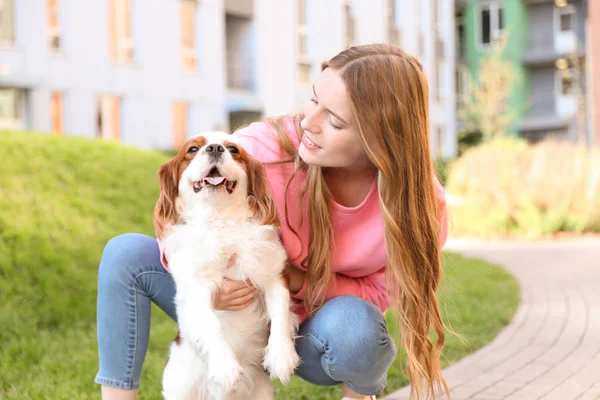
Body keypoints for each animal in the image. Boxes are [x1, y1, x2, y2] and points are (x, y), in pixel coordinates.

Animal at [155, 133, 300, 398]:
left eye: (233, 150)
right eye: (193, 149)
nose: (215, 148)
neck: (220, 218)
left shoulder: (274, 275)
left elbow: (281, 312)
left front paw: (281, 357)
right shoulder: (197, 287)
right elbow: (210, 324)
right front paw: (225, 367)